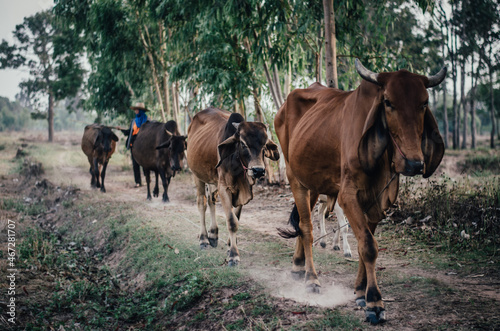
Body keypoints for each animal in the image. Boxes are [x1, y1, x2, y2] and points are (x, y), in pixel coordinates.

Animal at [187, 109, 282, 268]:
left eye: (264, 146)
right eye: (243, 144)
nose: (258, 170)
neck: (237, 163)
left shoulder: (242, 191)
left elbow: (236, 218)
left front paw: (230, 244)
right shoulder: (224, 188)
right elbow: (231, 221)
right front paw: (233, 255)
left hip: (212, 180)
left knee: (211, 200)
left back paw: (213, 235)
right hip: (197, 176)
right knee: (202, 204)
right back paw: (204, 239)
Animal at [278, 59, 446, 324]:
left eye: (424, 103)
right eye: (388, 102)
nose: (414, 164)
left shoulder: (377, 201)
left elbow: (363, 243)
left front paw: (359, 291)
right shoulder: (348, 196)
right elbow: (368, 245)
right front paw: (374, 302)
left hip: (312, 183)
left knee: (304, 224)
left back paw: (297, 266)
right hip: (295, 178)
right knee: (307, 227)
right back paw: (312, 279)